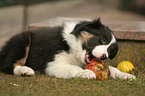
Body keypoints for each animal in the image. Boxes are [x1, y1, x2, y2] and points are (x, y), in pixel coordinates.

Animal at [0, 18, 136, 80]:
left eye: (110, 51)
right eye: (102, 40)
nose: (104, 57)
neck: (75, 47)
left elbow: (111, 68)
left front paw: (126, 75)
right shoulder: (53, 64)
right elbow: (73, 67)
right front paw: (87, 73)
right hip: (23, 40)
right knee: (7, 65)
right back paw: (25, 70)